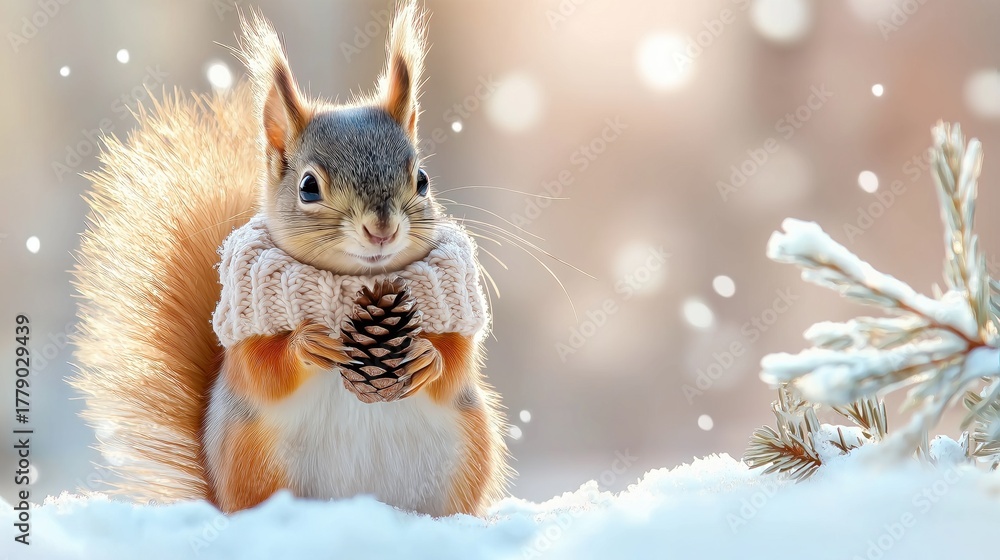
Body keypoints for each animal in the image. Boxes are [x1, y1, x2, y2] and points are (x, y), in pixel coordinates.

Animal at [71, 5, 510, 517]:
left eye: (421, 179)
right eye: (308, 187)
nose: (381, 227)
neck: (358, 281)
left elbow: (457, 360)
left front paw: (427, 356)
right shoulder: (248, 330)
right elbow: (263, 369)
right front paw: (306, 344)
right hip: (253, 459)